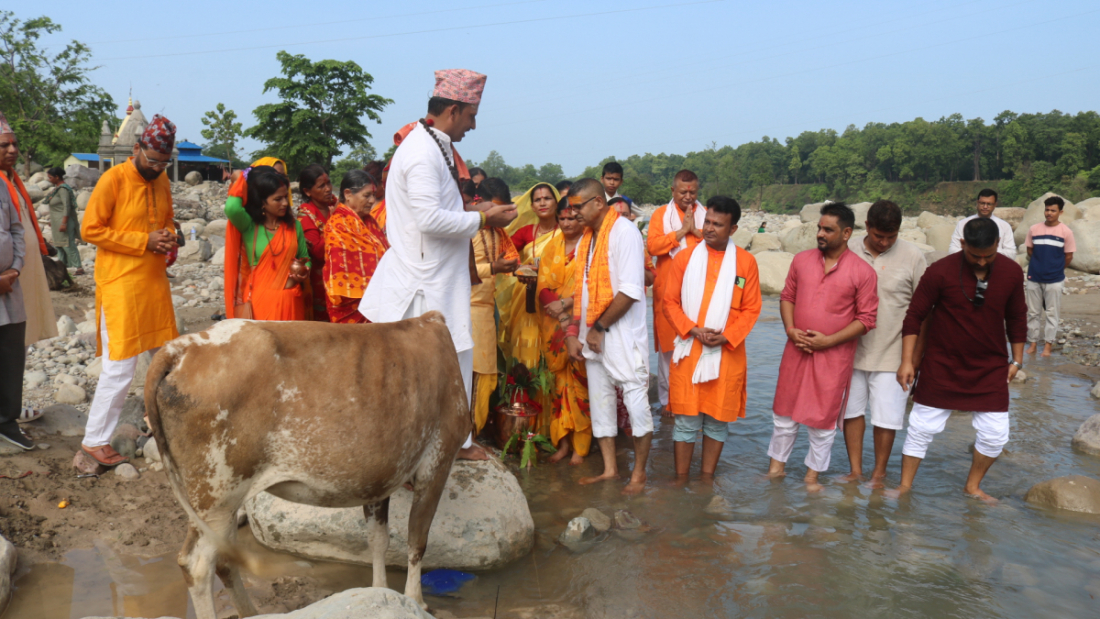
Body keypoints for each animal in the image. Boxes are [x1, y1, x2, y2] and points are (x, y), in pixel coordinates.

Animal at [144, 312, 470, 615]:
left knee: (224, 558)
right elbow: (417, 539)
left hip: (216, 501)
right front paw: (417, 600)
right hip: (217, 494)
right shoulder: (438, 460)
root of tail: (179, 347)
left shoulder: (378, 478)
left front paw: (380, 591)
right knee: (197, 564)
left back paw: (250, 612)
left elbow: (378, 540)